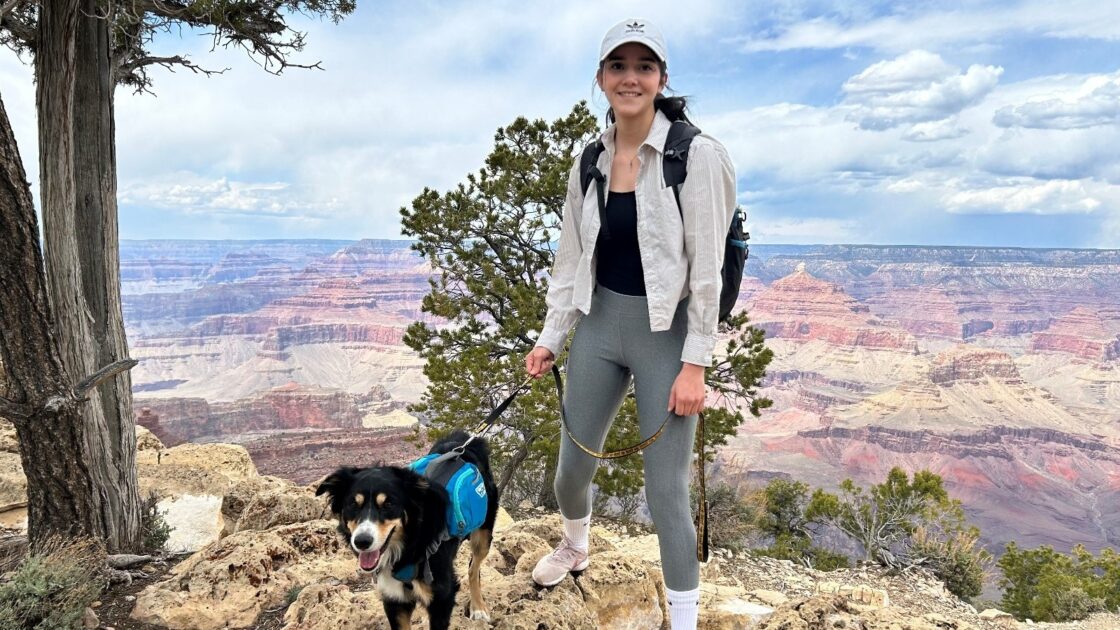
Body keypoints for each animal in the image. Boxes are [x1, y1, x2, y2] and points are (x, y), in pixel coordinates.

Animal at [315, 428, 499, 623]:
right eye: (353, 504)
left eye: (389, 504)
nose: (362, 542)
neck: (411, 544)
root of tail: (464, 444)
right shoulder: (394, 599)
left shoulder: (442, 598)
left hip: (484, 534)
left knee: (473, 568)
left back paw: (478, 607)